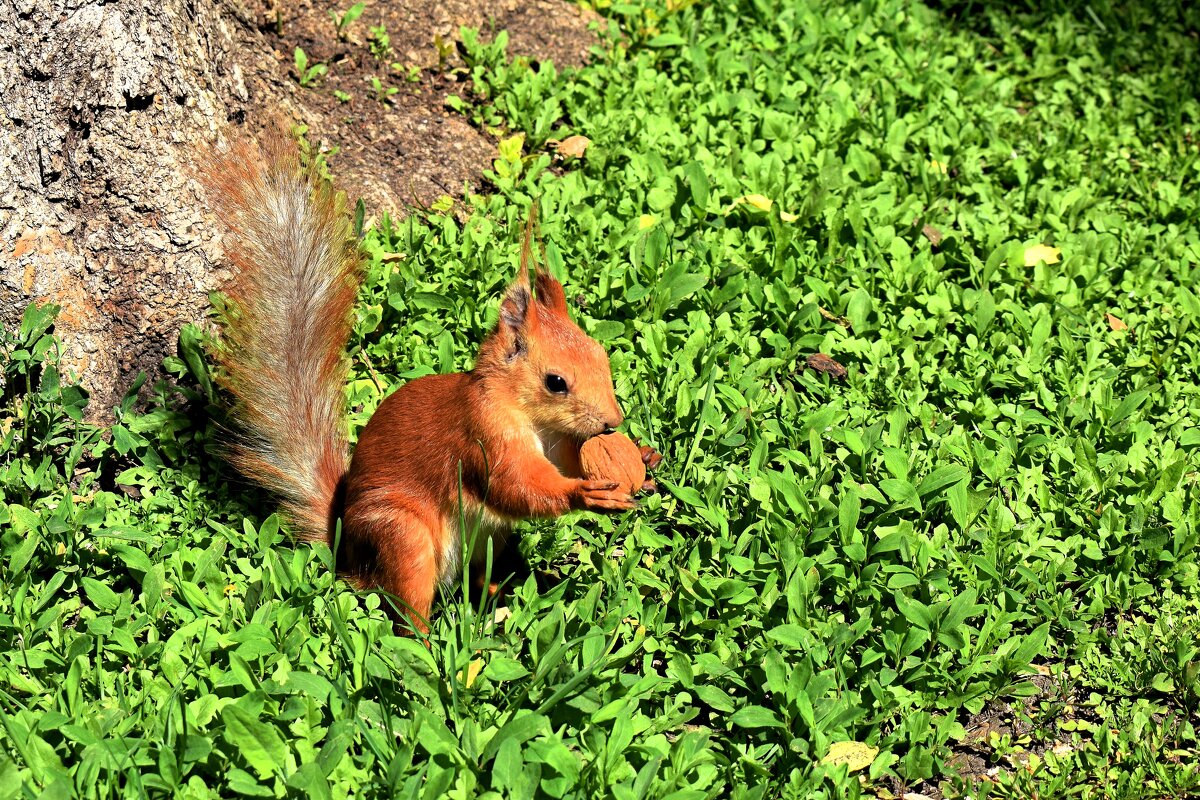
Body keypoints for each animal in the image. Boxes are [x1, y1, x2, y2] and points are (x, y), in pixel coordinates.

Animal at [204, 136, 657, 633]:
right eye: (555, 382)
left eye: (600, 355)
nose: (613, 422)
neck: (530, 418)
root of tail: (346, 553)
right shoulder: (481, 435)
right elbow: (515, 488)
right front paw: (585, 494)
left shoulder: (559, 444)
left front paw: (644, 457)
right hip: (403, 537)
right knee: (406, 608)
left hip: (487, 540)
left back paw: (496, 601)